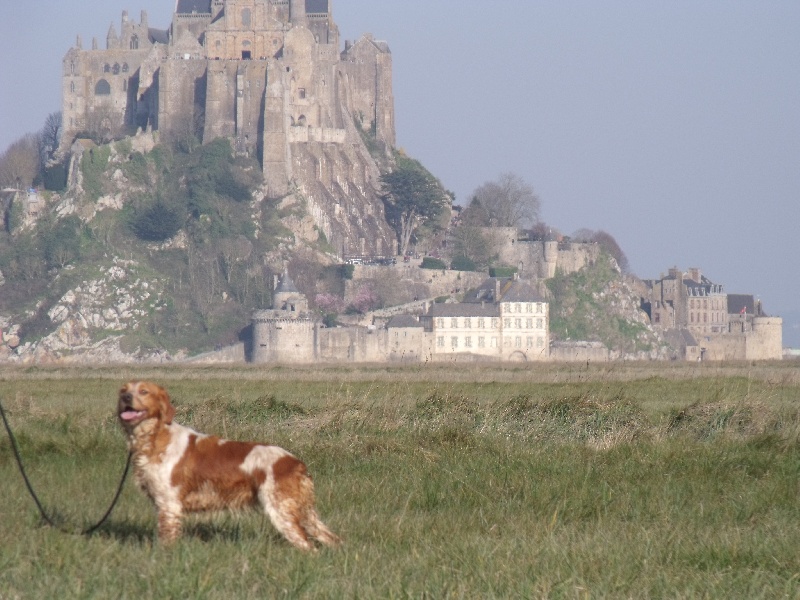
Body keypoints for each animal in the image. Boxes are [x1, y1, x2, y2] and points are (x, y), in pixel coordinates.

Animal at [117, 382, 340, 552]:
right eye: (123, 390)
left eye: (144, 391)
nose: (126, 397)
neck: (155, 437)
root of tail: (295, 462)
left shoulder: (169, 505)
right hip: (302, 513)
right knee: (329, 538)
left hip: (281, 511)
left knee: (308, 546)